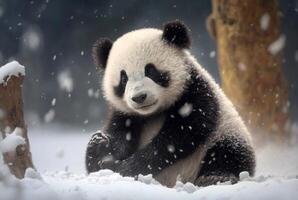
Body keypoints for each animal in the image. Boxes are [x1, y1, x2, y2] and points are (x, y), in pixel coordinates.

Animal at [85, 20, 255, 188]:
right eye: (124, 79)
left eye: (150, 71)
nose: (139, 97)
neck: (153, 112)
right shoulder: (124, 112)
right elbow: (120, 133)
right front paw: (103, 149)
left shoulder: (195, 93)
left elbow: (180, 135)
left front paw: (127, 168)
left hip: (225, 132)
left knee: (229, 153)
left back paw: (215, 177)